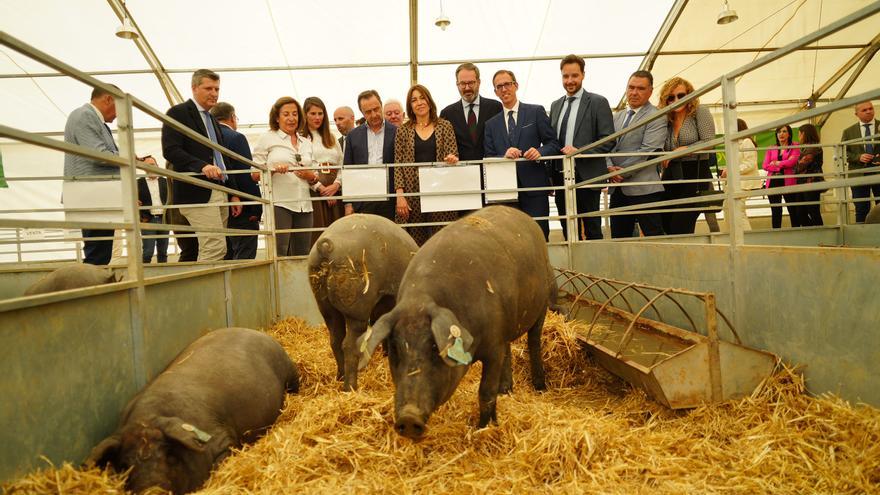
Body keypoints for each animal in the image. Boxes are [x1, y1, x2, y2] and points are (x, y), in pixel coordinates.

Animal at [86, 328, 300, 494]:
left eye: (169, 456)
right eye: (125, 465)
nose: (152, 491)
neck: (148, 418)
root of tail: (259, 332)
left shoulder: (222, 440)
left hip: (291, 374)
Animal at [310, 213, 420, 392]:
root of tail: (326, 246)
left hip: (325, 305)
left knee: (335, 340)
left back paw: (340, 377)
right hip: (356, 307)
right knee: (349, 345)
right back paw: (350, 386)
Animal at [358, 207, 556, 440]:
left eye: (434, 348)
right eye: (395, 349)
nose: (408, 417)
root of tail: (523, 215)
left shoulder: (493, 346)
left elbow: (486, 392)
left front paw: (483, 429)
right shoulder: (498, 338)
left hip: (542, 302)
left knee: (534, 341)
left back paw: (540, 387)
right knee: (509, 351)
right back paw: (506, 390)